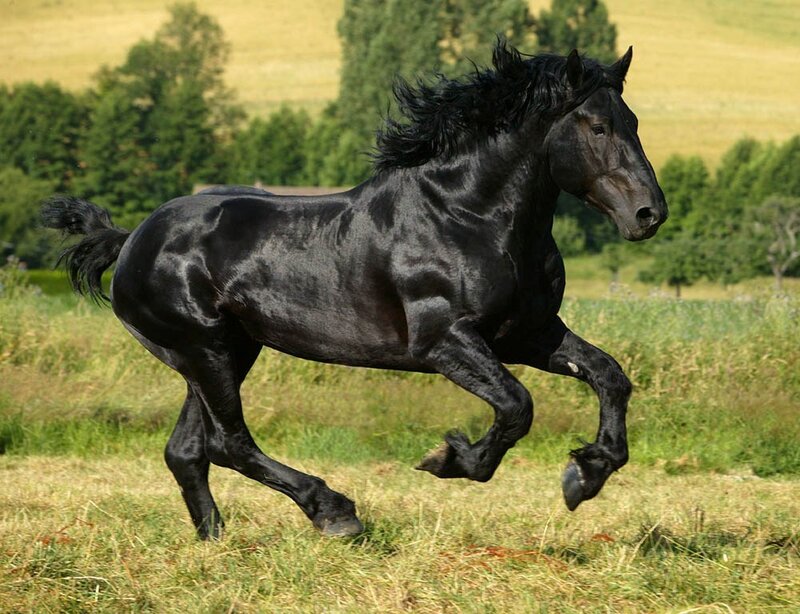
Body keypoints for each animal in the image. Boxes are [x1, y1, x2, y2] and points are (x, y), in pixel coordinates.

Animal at [42, 40, 667, 539]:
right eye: (597, 127)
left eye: (635, 121)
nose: (649, 214)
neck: (467, 215)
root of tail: (130, 241)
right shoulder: (446, 342)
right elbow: (517, 405)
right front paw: (451, 459)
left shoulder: (528, 335)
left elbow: (610, 375)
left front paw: (585, 474)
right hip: (205, 349)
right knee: (227, 443)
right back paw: (335, 511)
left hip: (226, 351)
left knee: (189, 450)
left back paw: (216, 540)